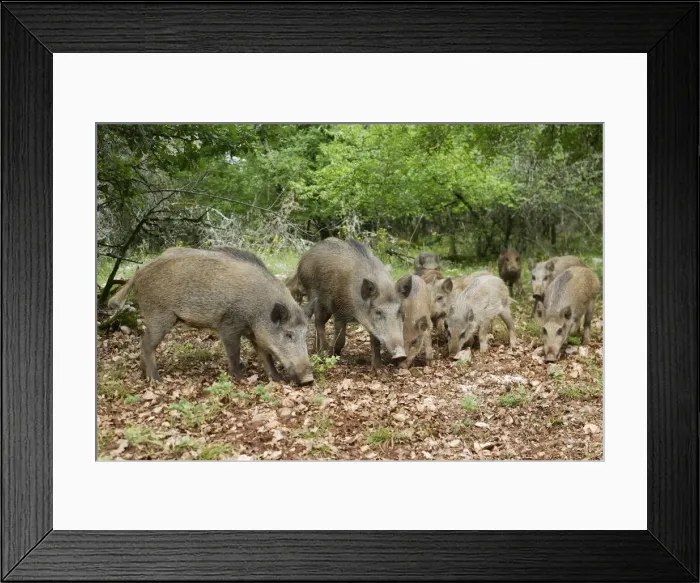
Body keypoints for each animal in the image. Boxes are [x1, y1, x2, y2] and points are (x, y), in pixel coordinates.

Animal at [108, 247, 315, 385]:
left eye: (305, 334)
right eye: (288, 334)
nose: (309, 379)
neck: (259, 311)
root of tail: (138, 274)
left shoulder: (256, 334)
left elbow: (266, 356)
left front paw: (278, 380)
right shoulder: (229, 325)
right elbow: (234, 353)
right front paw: (241, 379)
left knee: (143, 342)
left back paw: (145, 376)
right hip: (159, 315)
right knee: (146, 344)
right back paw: (156, 380)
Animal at [287, 238, 409, 369]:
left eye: (400, 311)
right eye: (378, 312)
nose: (401, 355)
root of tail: (303, 259)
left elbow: (375, 342)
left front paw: (377, 368)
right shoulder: (339, 311)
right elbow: (341, 340)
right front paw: (332, 355)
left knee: (318, 323)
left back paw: (316, 350)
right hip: (315, 297)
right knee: (319, 323)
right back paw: (323, 352)